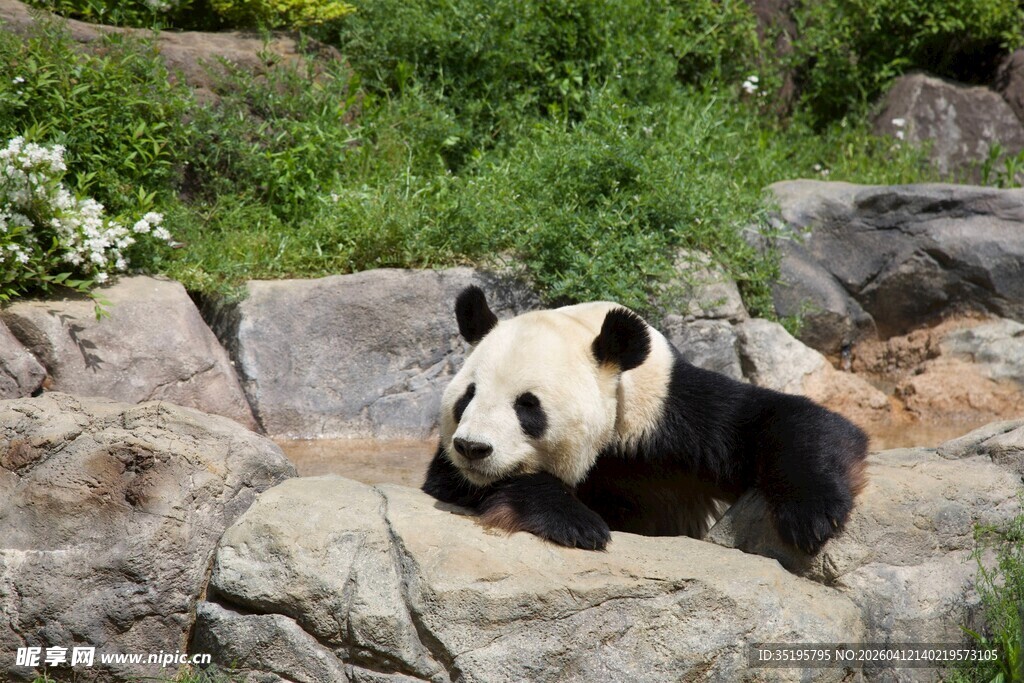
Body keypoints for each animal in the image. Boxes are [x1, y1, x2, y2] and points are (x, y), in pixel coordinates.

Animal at [422, 285, 869, 554]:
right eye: (467, 396)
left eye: (527, 406)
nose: (473, 448)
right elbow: (455, 483)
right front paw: (577, 522)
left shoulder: (669, 414)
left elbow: (785, 420)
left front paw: (813, 516)